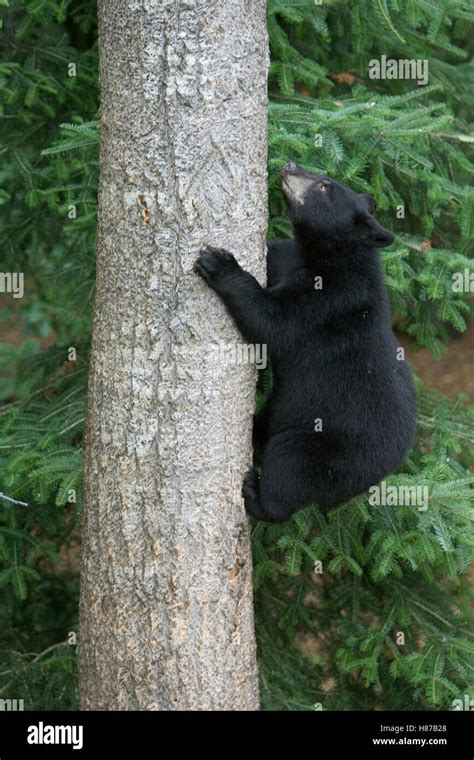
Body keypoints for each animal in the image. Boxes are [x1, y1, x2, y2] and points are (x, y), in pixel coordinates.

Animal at [194, 161, 416, 524]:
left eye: (324, 186)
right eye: (323, 176)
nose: (289, 165)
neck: (325, 257)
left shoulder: (329, 299)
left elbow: (273, 322)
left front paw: (219, 264)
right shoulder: (289, 259)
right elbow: (274, 254)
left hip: (329, 450)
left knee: (290, 467)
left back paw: (258, 496)